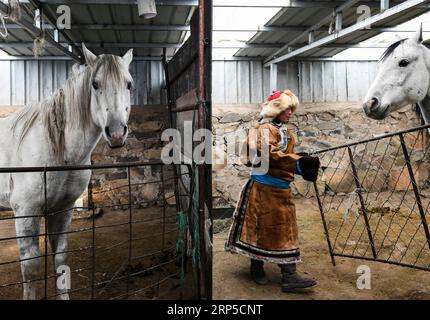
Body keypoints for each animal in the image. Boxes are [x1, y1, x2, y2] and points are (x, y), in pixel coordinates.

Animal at [0, 43, 134, 298]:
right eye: (95, 84)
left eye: (129, 84)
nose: (116, 133)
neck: (57, 148)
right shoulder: (26, 211)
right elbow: (30, 267)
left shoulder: (63, 209)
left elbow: (61, 259)